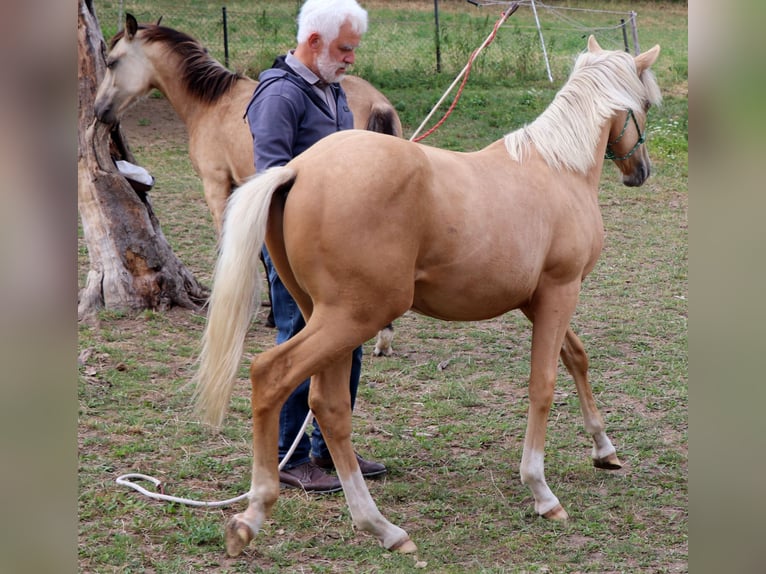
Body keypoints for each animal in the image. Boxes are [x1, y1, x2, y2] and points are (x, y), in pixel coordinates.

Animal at [94, 13, 399, 355]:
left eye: (112, 62)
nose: (99, 110)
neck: (211, 102)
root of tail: (377, 103)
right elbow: (266, 253)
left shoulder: (217, 187)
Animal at [193, 35, 660, 557]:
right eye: (643, 105)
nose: (640, 171)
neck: (557, 169)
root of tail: (296, 170)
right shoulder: (561, 291)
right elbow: (543, 384)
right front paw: (541, 491)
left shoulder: (537, 299)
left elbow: (577, 358)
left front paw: (605, 449)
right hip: (351, 317)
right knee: (271, 376)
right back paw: (259, 516)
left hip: (327, 318)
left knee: (328, 406)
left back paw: (379, 527)